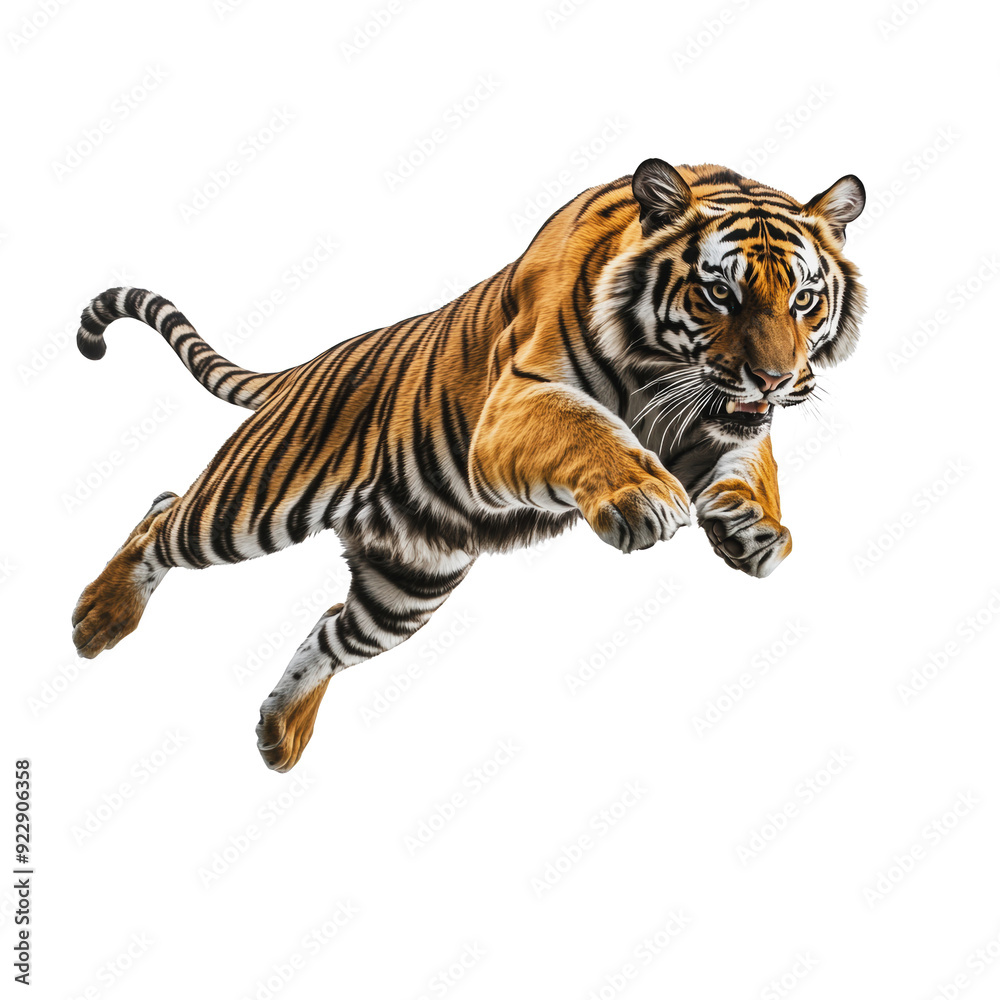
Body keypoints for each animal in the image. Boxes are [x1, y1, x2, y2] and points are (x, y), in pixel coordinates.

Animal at [71, 158, 866, 772]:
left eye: (804, 299)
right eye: (719, 292)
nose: (774, 378)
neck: (660, 375)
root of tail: (308, 366)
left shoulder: (717, 419)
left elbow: (751, 461)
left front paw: (755, 532)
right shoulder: (521, 398)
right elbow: (589, 431)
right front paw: (644, 496)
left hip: (408, 583)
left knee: (330, 628)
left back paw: (280, 734)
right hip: (254, 502)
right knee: (162, 514)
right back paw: (97, 621)